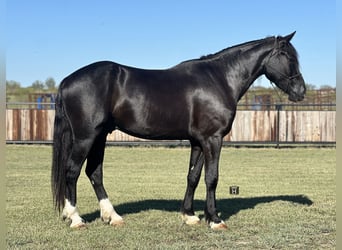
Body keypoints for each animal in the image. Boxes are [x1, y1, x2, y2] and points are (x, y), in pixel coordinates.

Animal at [50, 32, 304, 229]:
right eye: (289, 57)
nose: (300, 91)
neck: (219, 79)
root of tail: (66, 82)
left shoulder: (198, 141)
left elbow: (193, 176)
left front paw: (190, 216)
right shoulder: (213, 139)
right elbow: (212, 177)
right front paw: (215, 219)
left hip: (99, 136)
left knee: (94, 173)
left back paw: (112, 216)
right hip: (86, 137)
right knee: (72, 171)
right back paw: (76, 218)